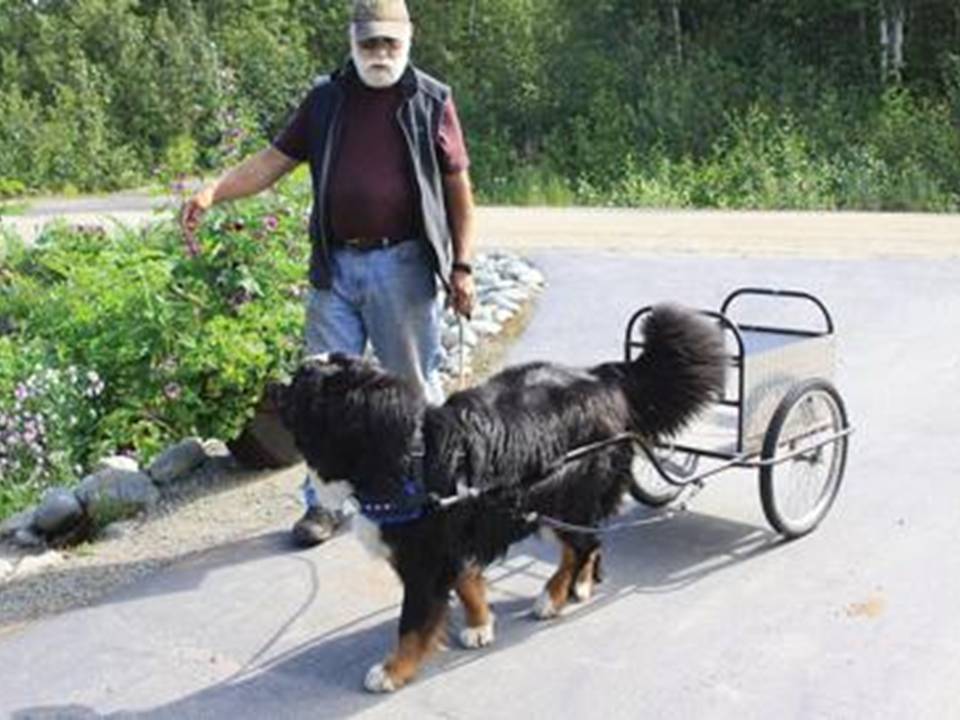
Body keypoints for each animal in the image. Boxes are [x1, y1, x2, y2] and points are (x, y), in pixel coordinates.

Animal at [274, 304, 724, 692]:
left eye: (302, 385)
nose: (274, 382)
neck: (406, 455)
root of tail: (600, 377)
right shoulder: (456, 542)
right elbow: (468, 583)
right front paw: (479, 624)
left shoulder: (425, 561)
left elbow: (412, 623)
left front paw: (393, 670)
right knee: (586, 543)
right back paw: (577, 585)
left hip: (567, 497)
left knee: (582, 544)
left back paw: (553, 597)